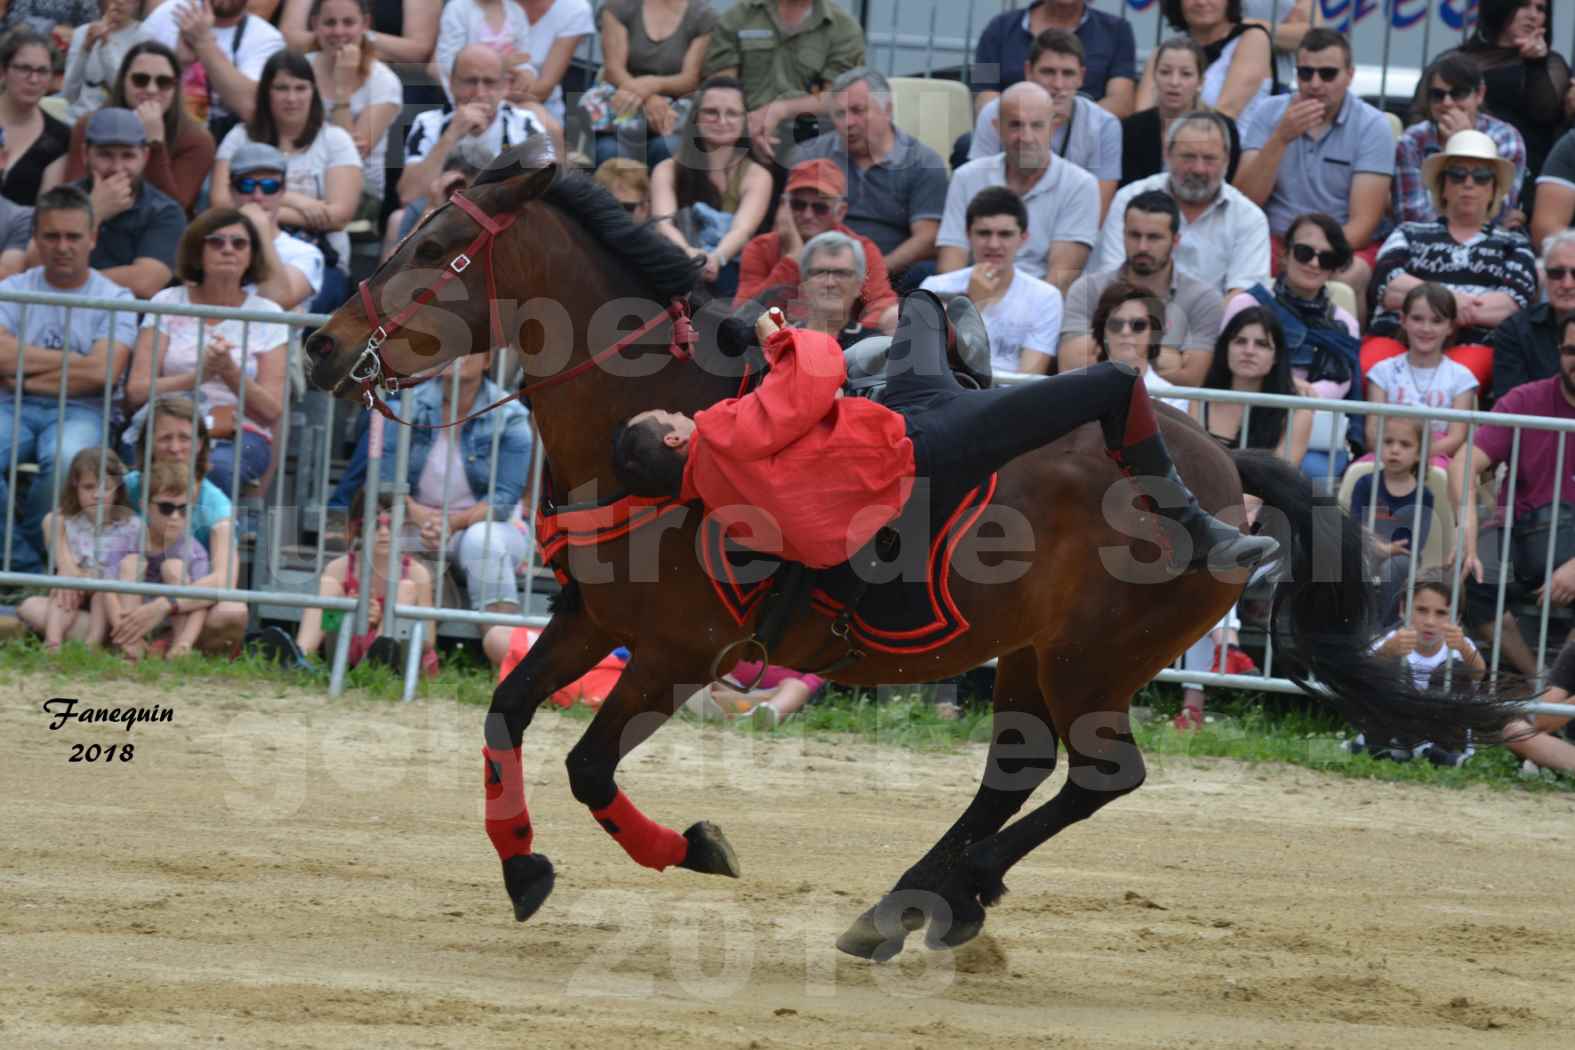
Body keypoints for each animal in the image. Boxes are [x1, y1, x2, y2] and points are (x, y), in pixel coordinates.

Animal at [300, 147, 1518, 963]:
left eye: (436, 249)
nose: (317, 343)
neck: (666, 423)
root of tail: (1218, 466)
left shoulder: (681, 654)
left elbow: (591, 766)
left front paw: (691, 847)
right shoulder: (592, 621)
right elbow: (505, 719)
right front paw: (524, 866)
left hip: (1092, 659)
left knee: (1096, 776)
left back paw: (936, 896)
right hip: (1032, 657)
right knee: (1020, 772)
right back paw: (924, 902)